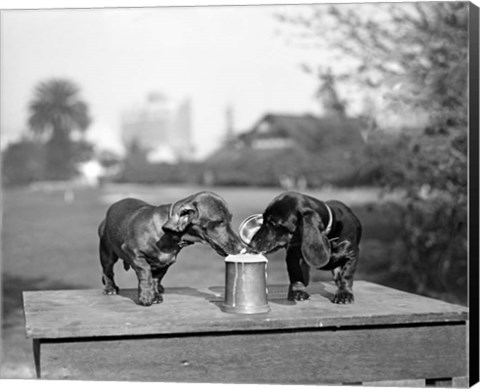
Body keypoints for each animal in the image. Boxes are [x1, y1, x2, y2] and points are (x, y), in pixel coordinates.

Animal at [98, 191, 244, 306]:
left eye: (230, 219)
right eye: (219, 221)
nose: (241, 247)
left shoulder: (165, 262)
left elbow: (156, 279)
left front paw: (155, 294)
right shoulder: (133, 252)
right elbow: (145, 272)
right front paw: (146, 295)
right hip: (107, 253)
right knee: (108, 271)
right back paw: (110, 288)